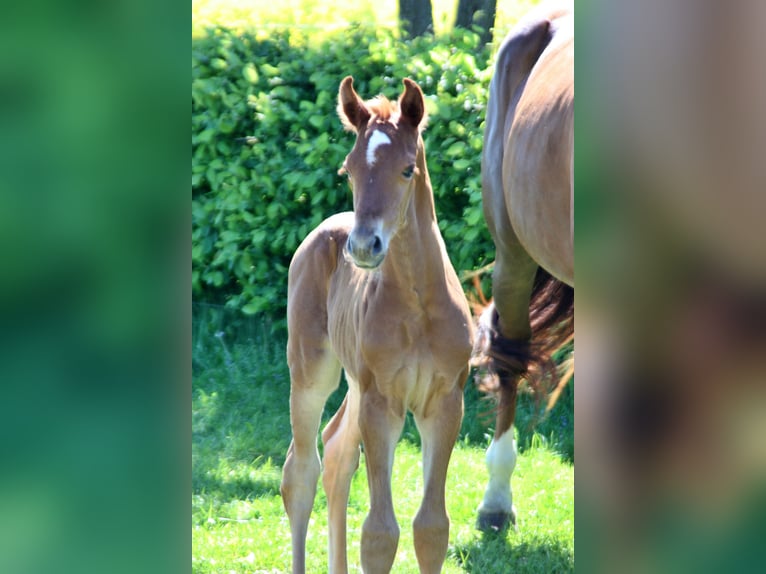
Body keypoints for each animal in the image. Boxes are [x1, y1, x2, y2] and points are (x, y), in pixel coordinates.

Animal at [282, 77, 474, 574]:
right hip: (312, 372)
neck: (419, 306)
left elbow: (432, 527)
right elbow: (379, 534)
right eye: (348, 170)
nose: (364, 246)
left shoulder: (445, 402)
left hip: (354, 383)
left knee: (336, 454)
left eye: (407, 170)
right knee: (301, 472)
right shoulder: (381, 402)